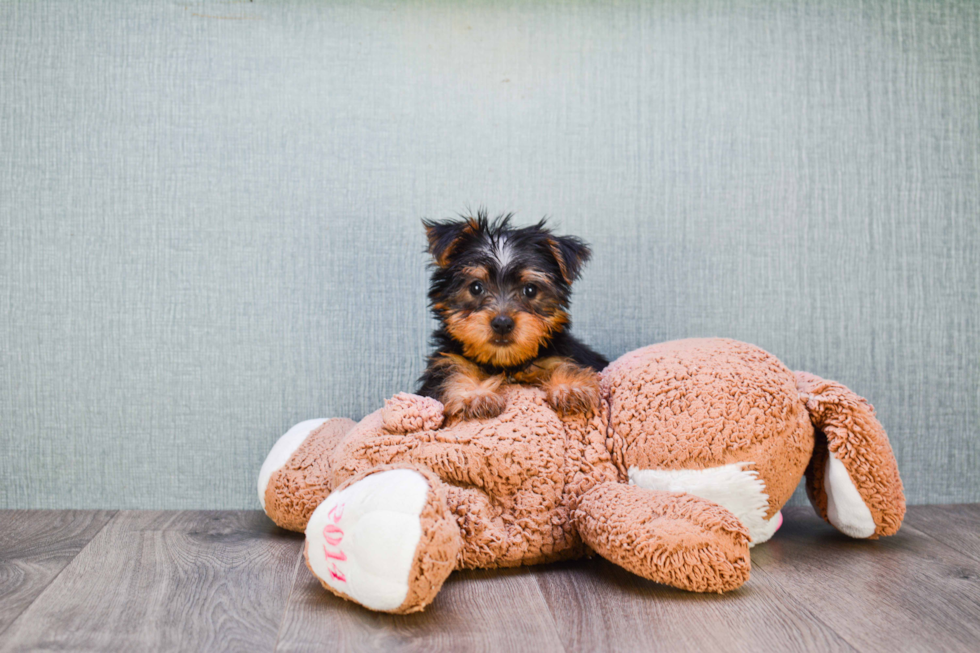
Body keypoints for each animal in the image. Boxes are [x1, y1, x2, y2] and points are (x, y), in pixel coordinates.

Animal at [418, 211, 608, 420]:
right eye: (476, 287)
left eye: (530, 290)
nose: (502, 323)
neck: (505, 362)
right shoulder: (446, 360)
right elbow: (452, 372)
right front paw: (476, 395)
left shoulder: (558, 354)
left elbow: (563, 364)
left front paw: (571, 387)